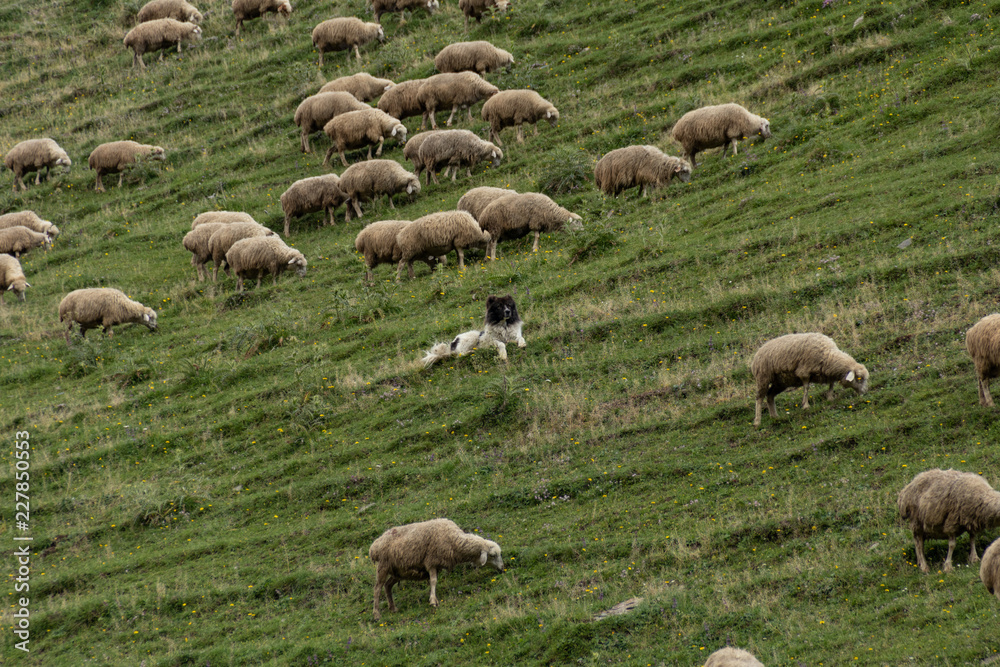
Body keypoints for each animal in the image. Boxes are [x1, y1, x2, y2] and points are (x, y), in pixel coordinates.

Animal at [369, 518, 503, 619]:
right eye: (493, 555)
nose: (502, 568)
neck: (453, 540)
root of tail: (374, 546)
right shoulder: (431, 562)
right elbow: (433, 581)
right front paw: (433, 601)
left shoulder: (436, 565)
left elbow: (433, 581)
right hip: (383, 566)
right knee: (377, 589)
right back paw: (376, 614)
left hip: (398, 571)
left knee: (387, 585)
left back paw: (392, 608)